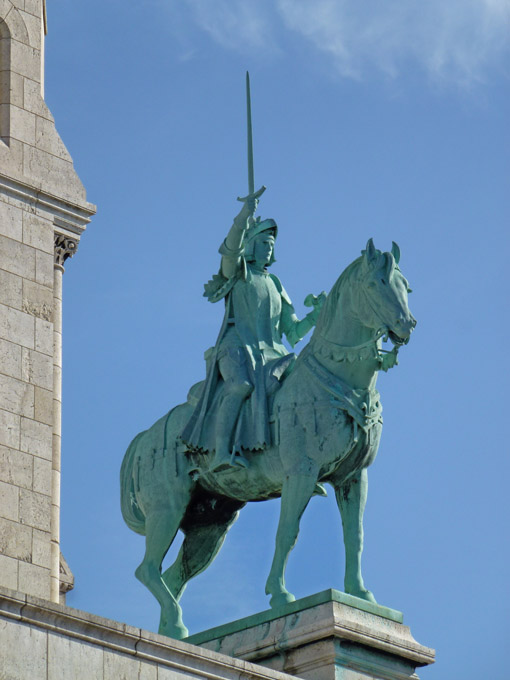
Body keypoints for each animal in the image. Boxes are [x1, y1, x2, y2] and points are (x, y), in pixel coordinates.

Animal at [121, 239, 416, 636]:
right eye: (375, 284)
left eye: (405, 287)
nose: (406, 325)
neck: (341, 380)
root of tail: (143, 439)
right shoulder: (301, 474)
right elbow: (287, 532)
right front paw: (280, 595)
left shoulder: (353, 477)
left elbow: (354, 536)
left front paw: (360, 594)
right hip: (167, 509)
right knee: (147, 570)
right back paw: (178, 627)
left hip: (208, 527)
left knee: (172, 575)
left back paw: (172, 628)